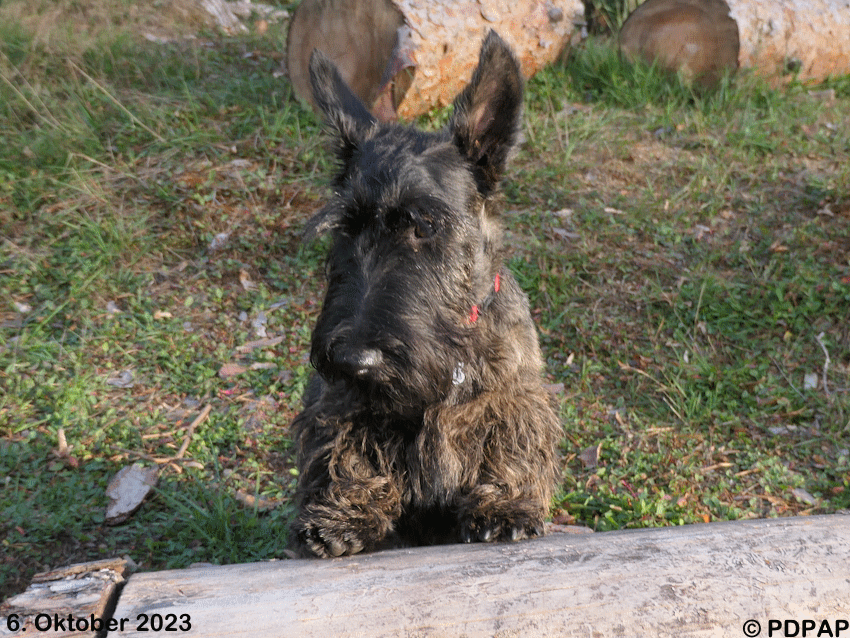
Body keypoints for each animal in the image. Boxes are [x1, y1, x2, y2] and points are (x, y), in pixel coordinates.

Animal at [288, 32, 560, 556]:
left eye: (426, 225)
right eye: (345, 228)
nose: (352, 359)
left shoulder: (513, 398)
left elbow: (509, 440)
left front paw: (505, 505)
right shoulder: (340, 404)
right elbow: (346, 450)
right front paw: (343, 513)